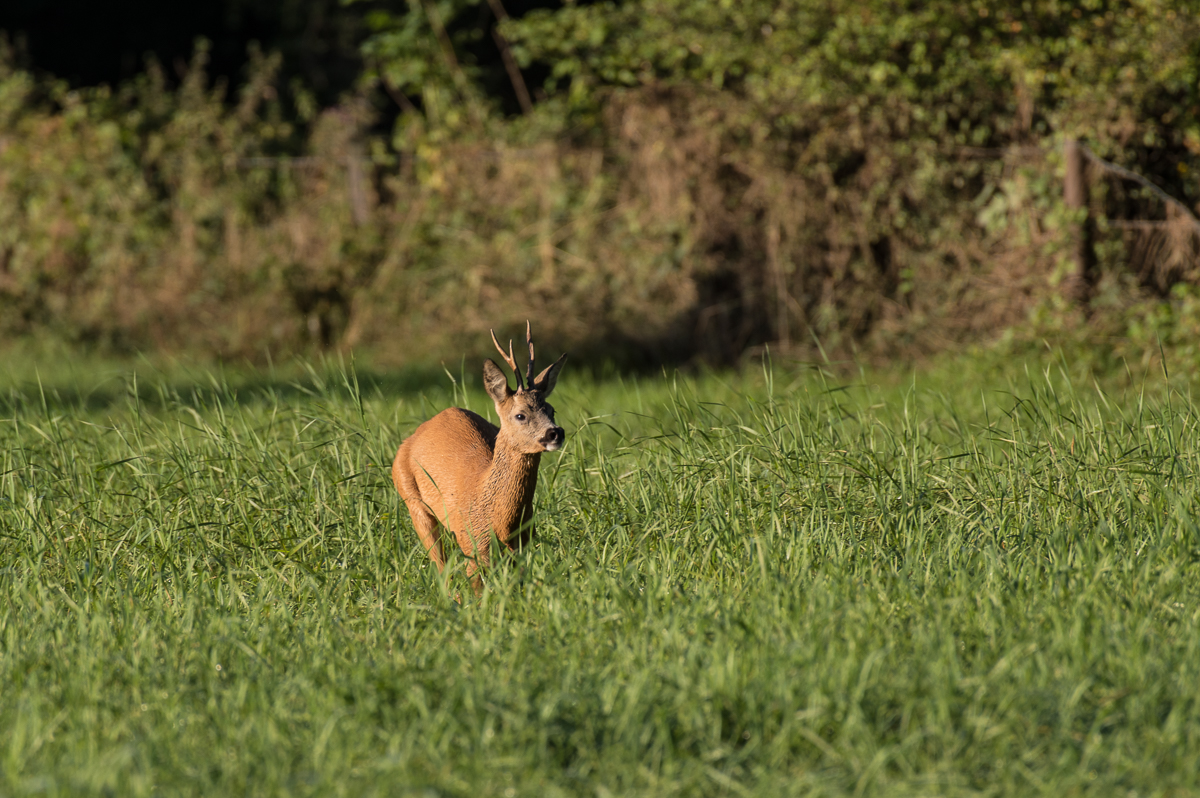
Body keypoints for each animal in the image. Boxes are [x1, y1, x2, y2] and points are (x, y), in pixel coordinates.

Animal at [388, 319, 566, 590]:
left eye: (551, 410)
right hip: (412, 500)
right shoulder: (473, 544)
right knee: (441, 568)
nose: (555, 433)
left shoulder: (522, 544)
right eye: (520, 415)